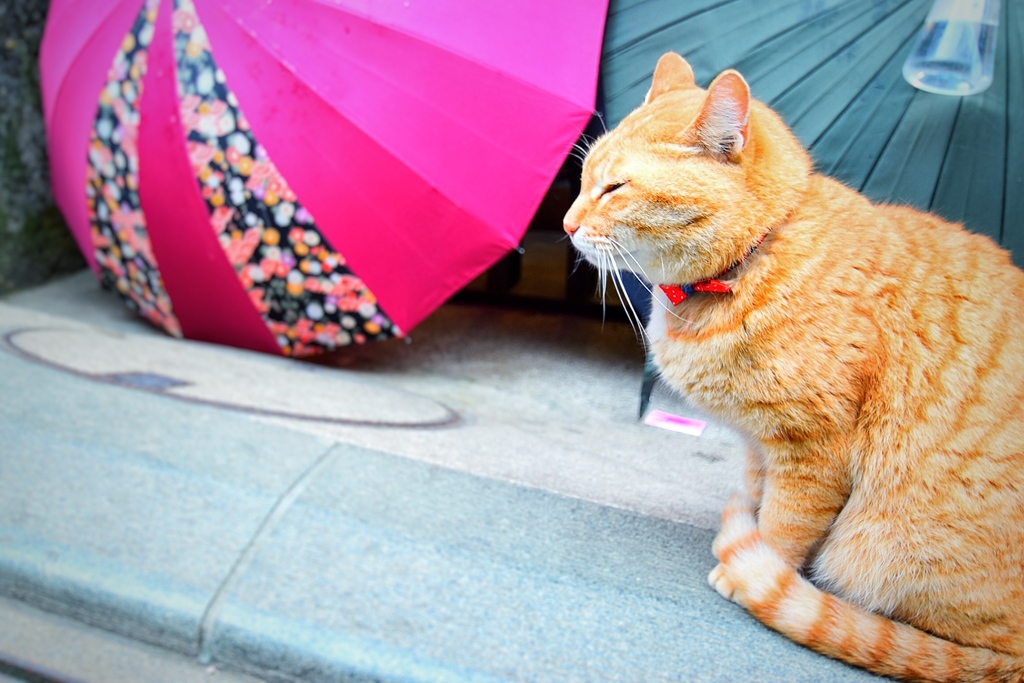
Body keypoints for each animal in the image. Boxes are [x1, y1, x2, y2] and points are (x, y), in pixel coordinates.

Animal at [565, 50, 1024, 679]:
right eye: (585, 179)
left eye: (614, 188)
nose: (565, 225)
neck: (752, 261)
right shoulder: (762, 444)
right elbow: (760, 499)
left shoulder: (813, 452)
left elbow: (783, 527)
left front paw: (752, 572)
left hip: (885, 545)